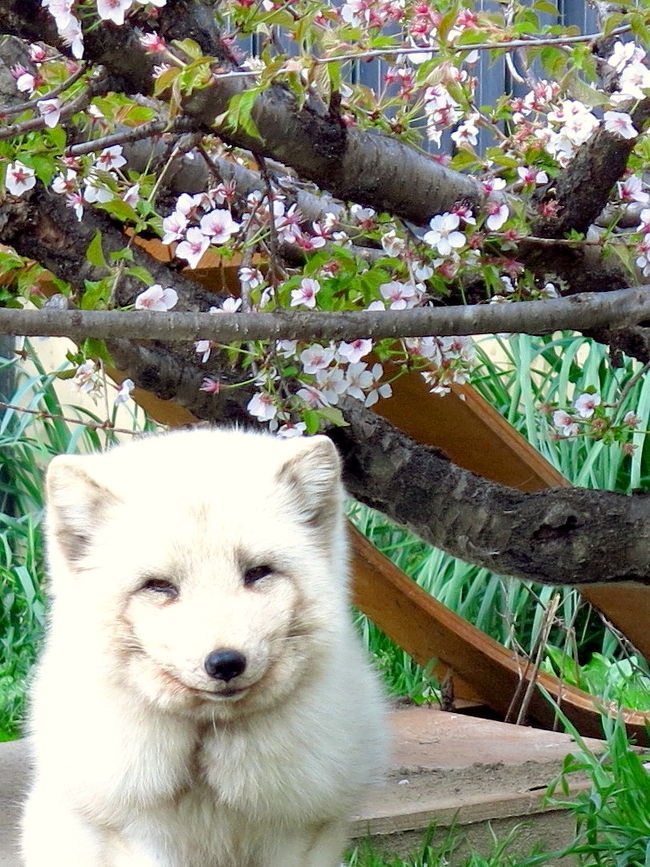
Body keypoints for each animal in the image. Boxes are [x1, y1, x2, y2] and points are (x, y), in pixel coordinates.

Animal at [21, 428, 384, 867]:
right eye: (159, 586)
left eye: (258, 573)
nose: (225, 663)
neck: (203, 756)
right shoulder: (137, 835)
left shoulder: (298, 833)